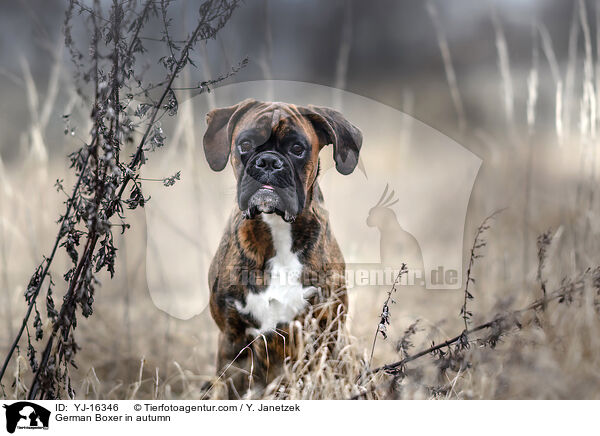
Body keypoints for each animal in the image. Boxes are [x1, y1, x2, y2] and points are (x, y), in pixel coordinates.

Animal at [203, 99, 360, 398]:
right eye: (245, 144)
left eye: (297, 148)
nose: (268, 162)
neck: (276, 230)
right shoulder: (232, 342)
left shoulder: (324, 333)